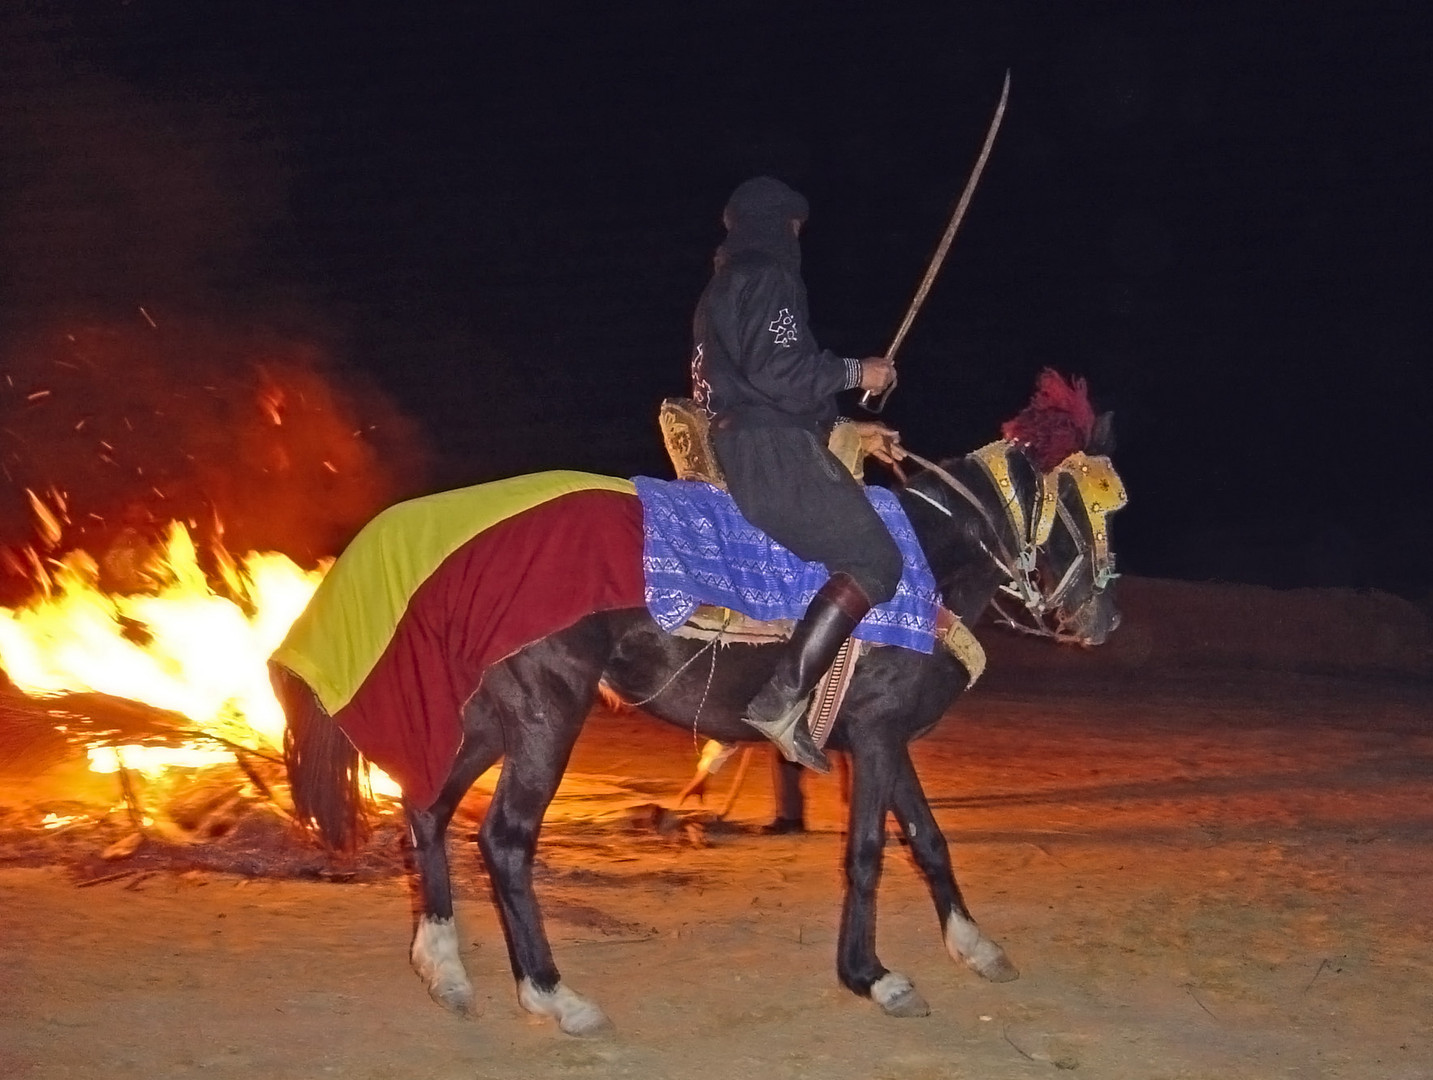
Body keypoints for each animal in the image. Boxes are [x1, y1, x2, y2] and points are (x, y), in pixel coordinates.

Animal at [276, 401, 1117, 1031]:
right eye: (1081, 505)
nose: (1101, 619)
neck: (929, 560)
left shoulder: (881, 737)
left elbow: (929, 840)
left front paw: (974, 946)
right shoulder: (876, 738)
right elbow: (870, 853)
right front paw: (871, 976)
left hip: (487, 718)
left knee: (427, 810)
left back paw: (443, 967)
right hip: (546, 712)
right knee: (504, 839)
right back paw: (553, 993)